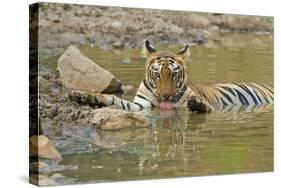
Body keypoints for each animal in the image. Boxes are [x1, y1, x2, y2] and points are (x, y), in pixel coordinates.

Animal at [70, 39, 274, 112]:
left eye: (174, 74)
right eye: (157, 75)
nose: (166, 96)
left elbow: (203, 106)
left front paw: (197, 104)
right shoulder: (141, 105)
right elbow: (114, 100)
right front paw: (83, 96)